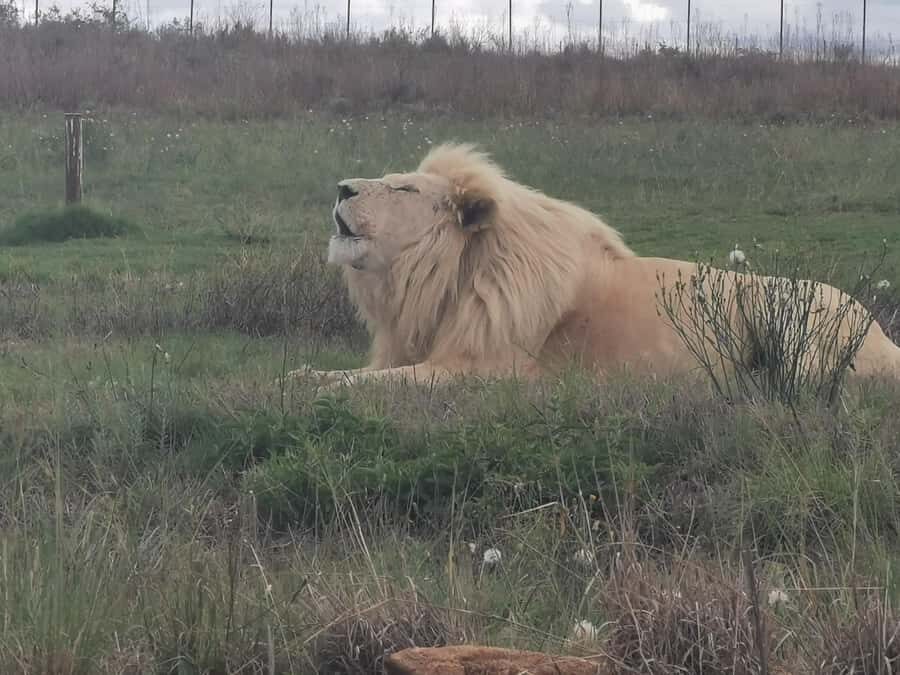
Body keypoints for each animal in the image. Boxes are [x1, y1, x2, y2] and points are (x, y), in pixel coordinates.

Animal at [291, 143, 900, 389]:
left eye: (403, 188)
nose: (341, 188)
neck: (444, 281)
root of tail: (881, 333)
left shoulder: (488, 370)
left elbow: (375, 384)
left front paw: (312, 385)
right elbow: (351, 374)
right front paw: (301, 376)